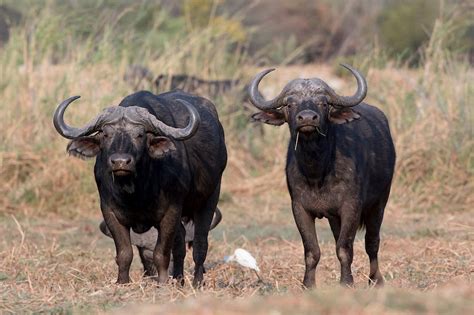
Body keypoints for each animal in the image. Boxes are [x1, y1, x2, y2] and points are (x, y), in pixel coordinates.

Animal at [52, 90, 227, 288]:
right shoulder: (110, 212)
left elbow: (161, 252)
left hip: (210, 198)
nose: (120, 162)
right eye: (105, 134)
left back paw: (197, 282)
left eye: (140, 135)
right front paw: (122, 282)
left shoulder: (171, 211)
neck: (136, 191)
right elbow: (125, 253)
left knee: (199, 243)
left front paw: (162, 283)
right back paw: (179, 279)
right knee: (180, 243)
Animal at [248, 65, 396, 288]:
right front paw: (308, 284)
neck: (317, 171)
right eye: (289, 104)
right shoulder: (300, 208)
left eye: (324, 103)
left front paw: (346, 282)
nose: (308, 118)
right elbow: (312, 251)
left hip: (379, 203)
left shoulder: (351, 206)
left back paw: (375, 279)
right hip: (336, 217)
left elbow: (345, 248)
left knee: (372, 242)